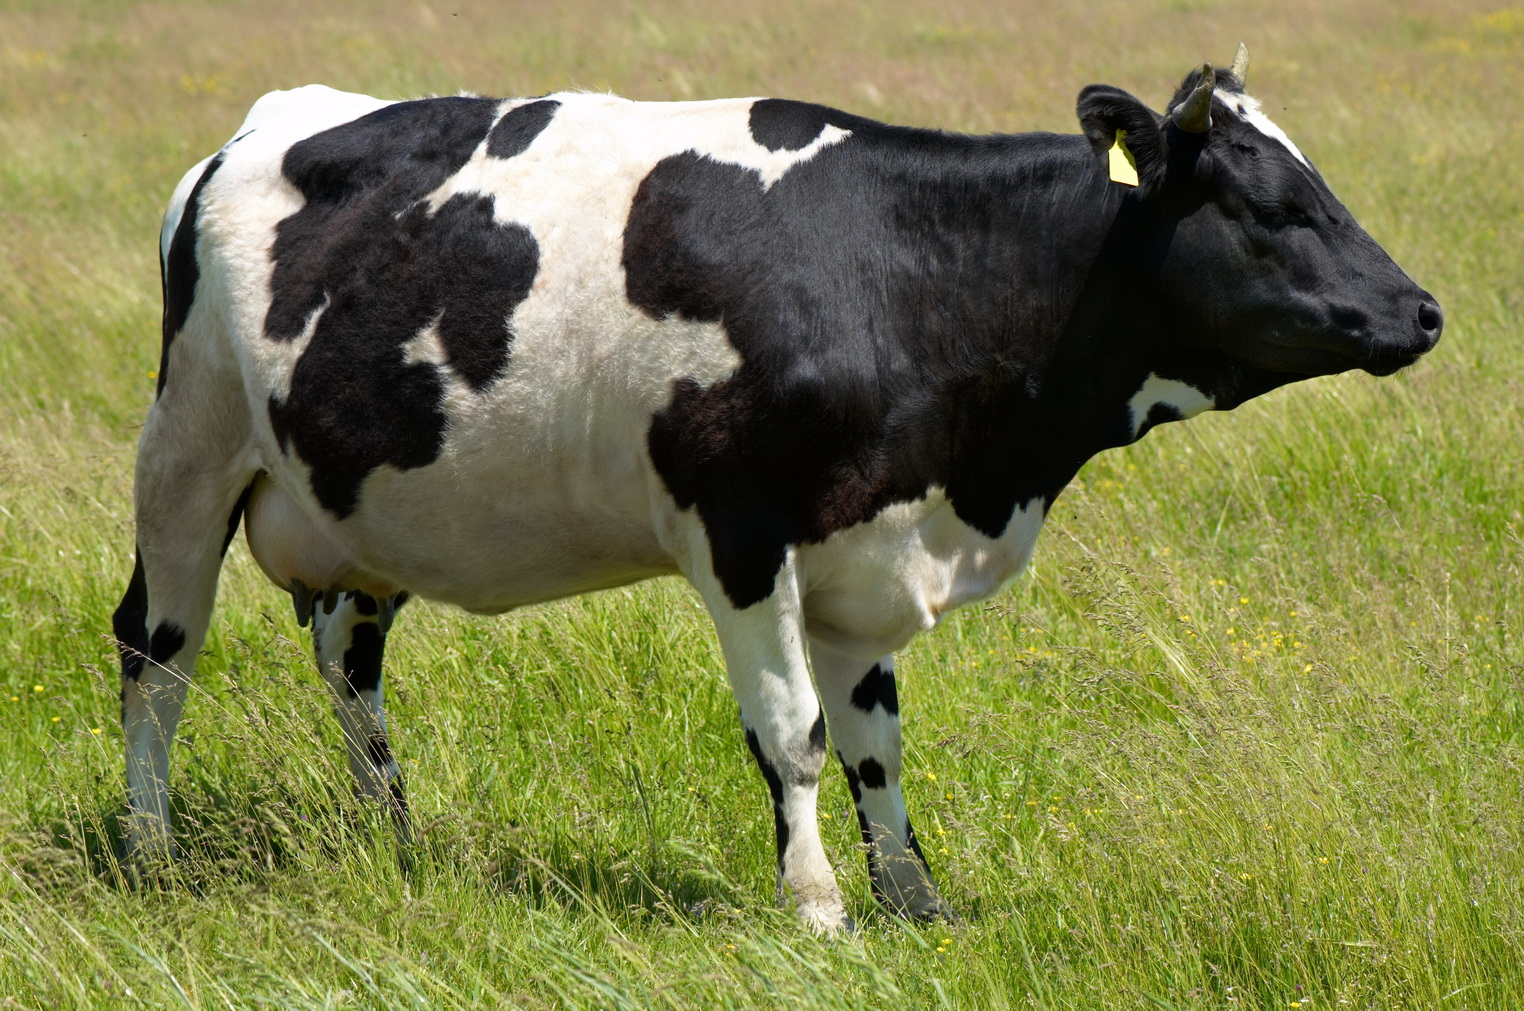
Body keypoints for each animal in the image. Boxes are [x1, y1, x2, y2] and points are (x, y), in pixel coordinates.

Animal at [115, 47, 1438, 927]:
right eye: (1274, 204)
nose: (1422, 310)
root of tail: (267, 124)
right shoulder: (740, 532)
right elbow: (795, 737)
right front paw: (818, 909)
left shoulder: (868, 547)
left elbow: (875, 747)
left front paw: (916, 904)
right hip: (187, 446)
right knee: (155, 651)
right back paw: (149, 847)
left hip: (354, 514)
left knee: (349, 666)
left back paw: (393, 842)